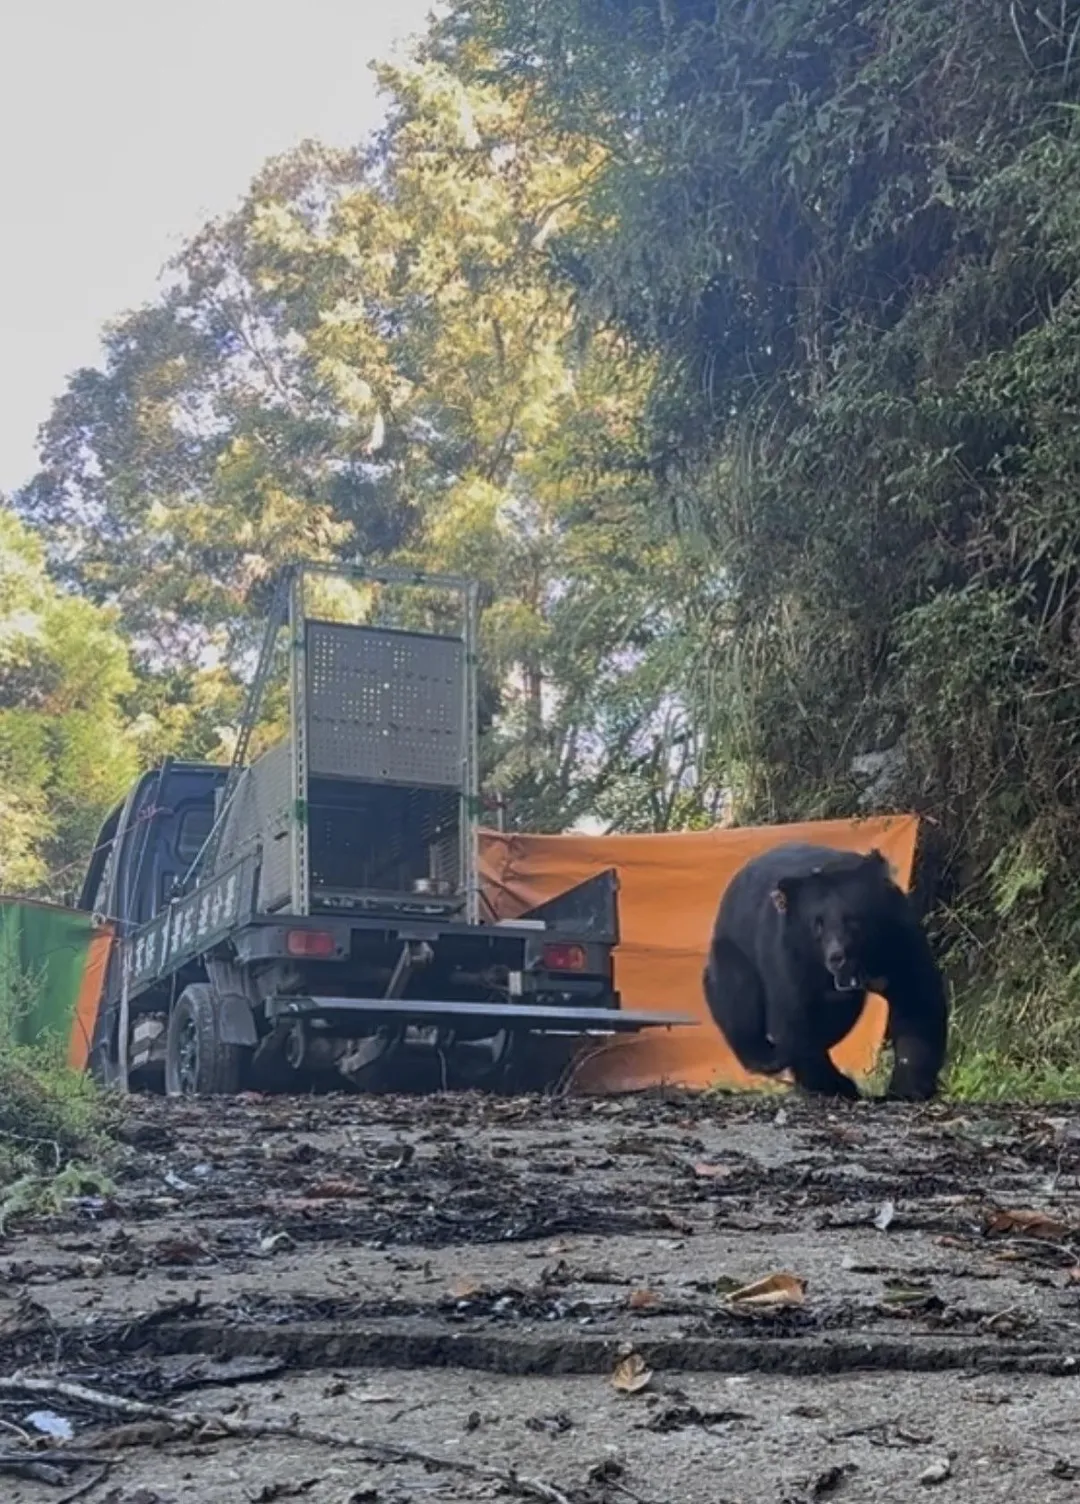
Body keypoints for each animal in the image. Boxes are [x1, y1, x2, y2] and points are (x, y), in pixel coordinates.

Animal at [702, 843, 948, 1101]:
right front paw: (836, 1085)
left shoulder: (899, 939)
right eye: (817, 924)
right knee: (739, 1002)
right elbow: (796, 1018)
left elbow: (917, 1001)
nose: (837, 957)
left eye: (853, 920)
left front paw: (908, 1088)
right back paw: (765, 1057)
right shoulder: (791, 955)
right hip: (734, 952)